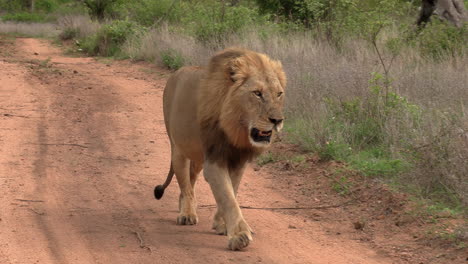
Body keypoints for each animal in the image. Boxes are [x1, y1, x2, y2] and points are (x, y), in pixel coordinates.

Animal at [154, 48, 286, 251]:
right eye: (257, 93)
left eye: (279, 94)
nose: (277, 120)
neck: (237, 128)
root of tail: (175, 73)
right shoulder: (215, 159)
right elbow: (227, 196)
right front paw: (239, 235)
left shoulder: (238, 160)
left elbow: (232, 190)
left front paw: (221, 224)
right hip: (178, 149)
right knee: (185, 184)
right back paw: (187, 214)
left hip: (197, 159)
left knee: (190, 182)